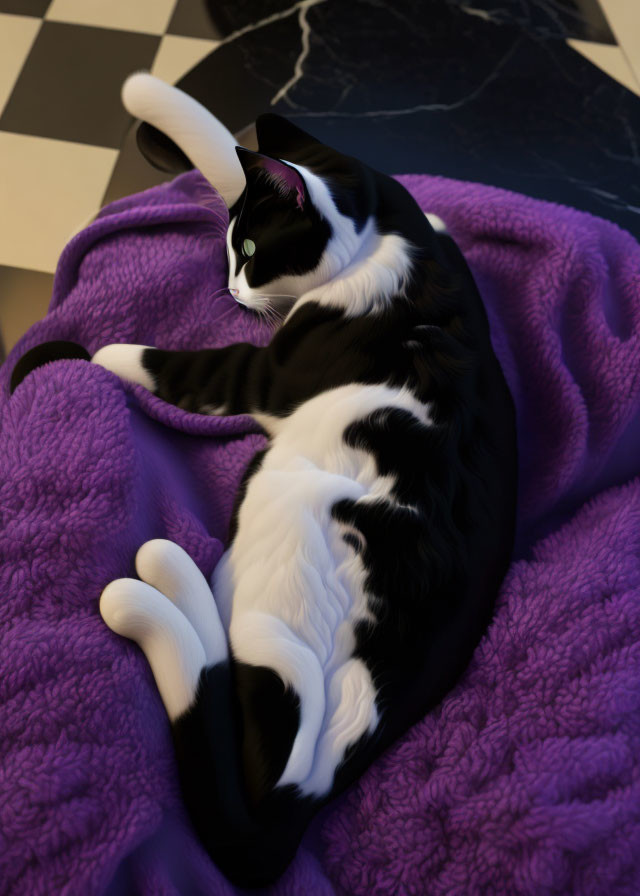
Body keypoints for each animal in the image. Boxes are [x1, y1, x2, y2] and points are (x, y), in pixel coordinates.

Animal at [12, 77, 516, 888]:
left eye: (249, 251)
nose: (228, 287)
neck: (386, 232)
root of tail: (316, 783)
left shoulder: (259, 374)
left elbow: (172, 363)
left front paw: (97, 352)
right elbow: (222, 149)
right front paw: (161, 101)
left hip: (279, 520)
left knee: (222, 676)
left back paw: (162, 578)